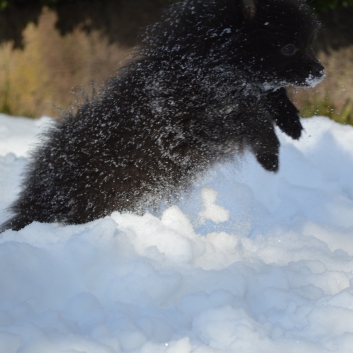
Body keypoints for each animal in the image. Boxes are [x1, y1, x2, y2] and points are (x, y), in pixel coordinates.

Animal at [0, 0, 324, 231]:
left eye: (310, 43)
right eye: (289, 47)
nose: (321, 71)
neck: (198, 67)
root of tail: (35, 201)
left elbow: (270, 97)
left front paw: (292, 123)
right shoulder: (203, 121)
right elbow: (255, 118)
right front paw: (270, 156)